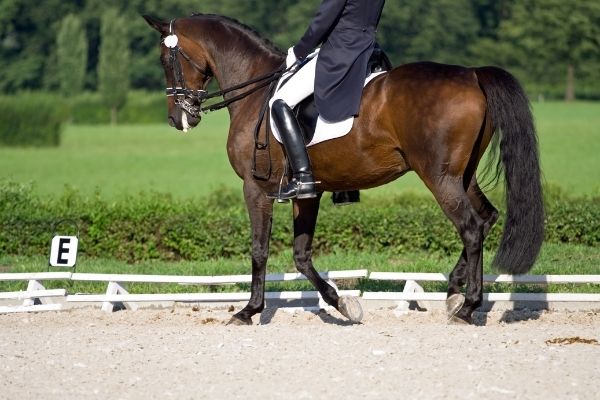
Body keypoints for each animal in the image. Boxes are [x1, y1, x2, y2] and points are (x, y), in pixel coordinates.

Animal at [144, 13, 544, 324]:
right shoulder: (307, 192)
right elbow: (301, 255)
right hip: (463, 175)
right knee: (487, 217)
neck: (256, 92)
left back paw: (467, 306)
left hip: (440, 178)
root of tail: (472, 75)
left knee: (471, 228)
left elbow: (259, 249)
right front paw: (344, 305)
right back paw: (454, 290)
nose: (178, 118)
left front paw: (249, 311)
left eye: (165, 58)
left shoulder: (255, 188)